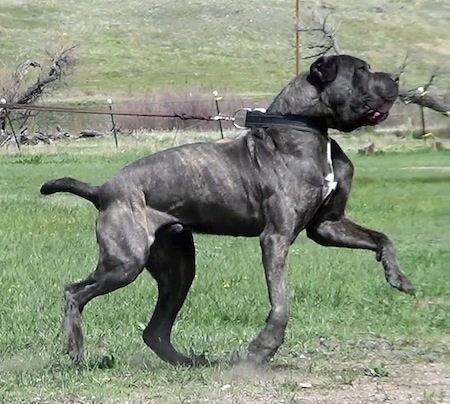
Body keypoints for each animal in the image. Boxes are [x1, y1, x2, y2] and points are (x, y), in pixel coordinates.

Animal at [40, 53, 414, 366]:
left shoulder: (328, 225)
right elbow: (281, 303)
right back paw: (74, 347)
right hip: (124, 263)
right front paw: (262, 349)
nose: (396, 77)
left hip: (177, 269)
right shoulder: (275, 238)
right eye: (361, 70)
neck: (309, 128)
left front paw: (399, 277)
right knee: (74, 292)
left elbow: (382, 238)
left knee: (154, 330)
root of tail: (103, 189)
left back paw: (189, 363)